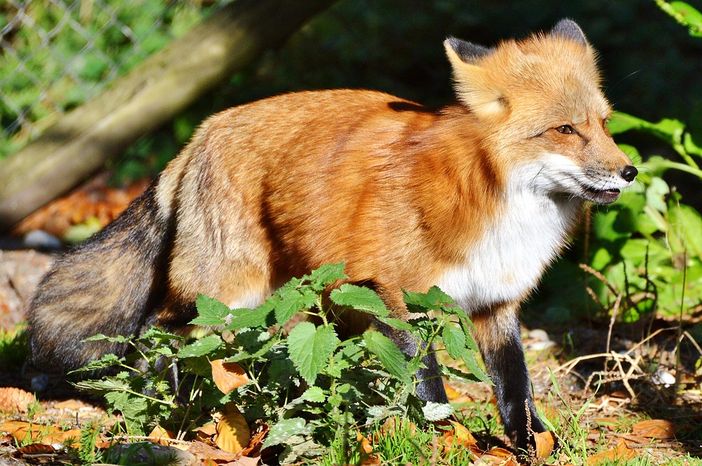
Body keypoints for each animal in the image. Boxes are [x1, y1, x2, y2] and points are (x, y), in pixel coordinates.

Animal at [28, 19, 636, 456]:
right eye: (564, 129)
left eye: (605, 124)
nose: (629, 171)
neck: (488, 196)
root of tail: (201, 130)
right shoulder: (393, 295)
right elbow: (424, 386)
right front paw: (440, 443)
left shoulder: (495, 304)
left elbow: (515, 391)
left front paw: (534, 446)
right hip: (227, 293)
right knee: (162, 332)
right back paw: (172, 413)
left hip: (299, 299)